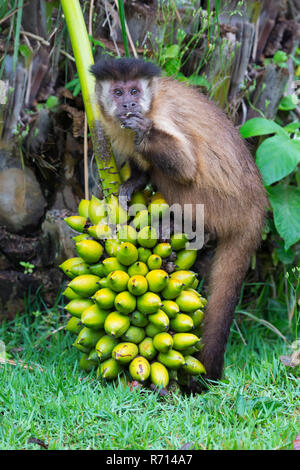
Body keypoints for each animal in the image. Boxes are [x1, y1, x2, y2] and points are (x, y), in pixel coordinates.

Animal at [91, 57, 268, 386]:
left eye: (134, 91)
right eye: (118, 92)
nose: (129, 104)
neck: (151, 102)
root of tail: (257, 207)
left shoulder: (162, 114)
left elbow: (185, 166)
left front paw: (145, 132)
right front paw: (133, 182)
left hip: (221, 203)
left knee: (181, 173)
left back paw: (188, 226)